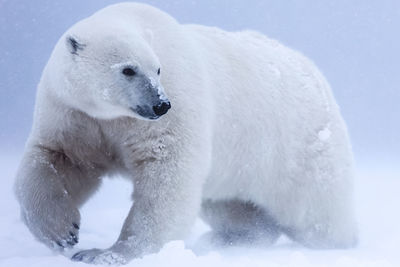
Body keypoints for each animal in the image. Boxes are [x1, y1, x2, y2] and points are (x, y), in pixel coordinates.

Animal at [14, 2, 356, 266]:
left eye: (157, 69)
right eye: (128, 69)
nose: (160, 104)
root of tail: (313, 72)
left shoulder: (173, 105)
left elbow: (166, 177)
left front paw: (104, 254)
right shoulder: (75, 114)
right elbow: (60, 160)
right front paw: (62, 232)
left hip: (299, 145)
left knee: (315, 209)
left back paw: (338, 242)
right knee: (230, 205)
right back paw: (232, 236)